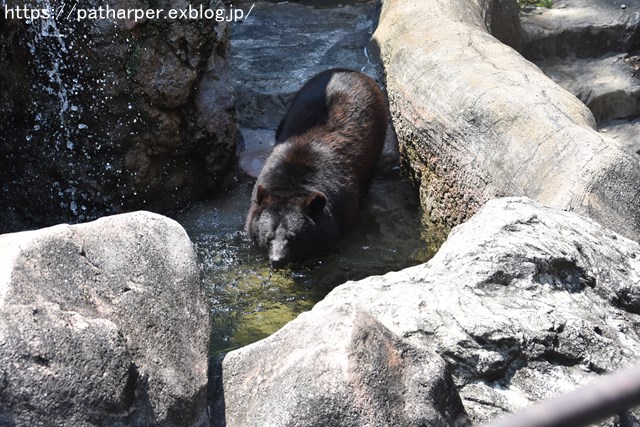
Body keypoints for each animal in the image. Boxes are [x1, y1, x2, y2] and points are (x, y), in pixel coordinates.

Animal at [245, 67, 388, 268]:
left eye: (292, 237)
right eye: (269, 236)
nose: (277, 260)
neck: (292, 185)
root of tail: (352, 71)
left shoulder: (342, 205)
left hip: (378, 132)